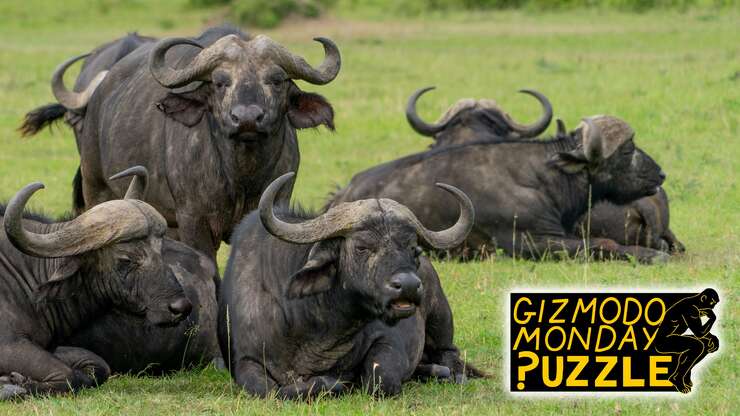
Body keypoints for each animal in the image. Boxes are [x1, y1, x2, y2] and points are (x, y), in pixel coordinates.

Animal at [0, 169, 191, 400]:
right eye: (126, 260)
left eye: (160, 251)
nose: (180, 308)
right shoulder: (9, 346)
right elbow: (67, 375)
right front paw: (12, 385)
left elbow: (99, 367)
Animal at [21, 26, 341, 261]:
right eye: (220, 82)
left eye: (276, 80)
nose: (247, 118)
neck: (241, 175)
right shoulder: (193, 222)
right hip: (96, 187)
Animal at [218, 173, 483, 399]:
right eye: (362, 247)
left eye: (413, 249)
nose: (408, 285)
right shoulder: (245, 361)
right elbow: (272, 391)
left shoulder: (388, 341)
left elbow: (380, 379)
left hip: (441, 319)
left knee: (450, 353)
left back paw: (448, 373)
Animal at [331, 115, 670, 263]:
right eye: (628, 150)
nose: (660, 173)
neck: (544, 178)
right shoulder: (529, 242)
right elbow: (602, 243)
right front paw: (651, 255)